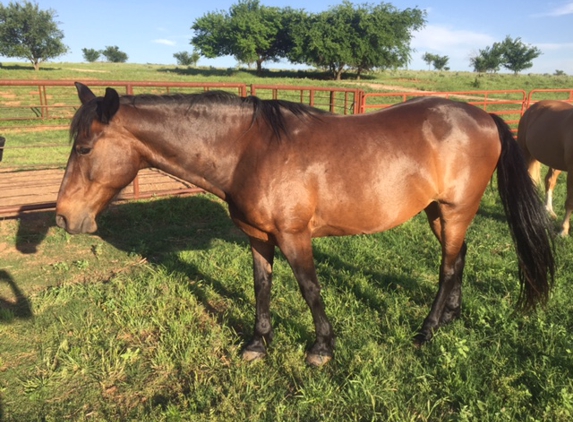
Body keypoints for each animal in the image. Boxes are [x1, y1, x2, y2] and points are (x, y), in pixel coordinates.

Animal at [55, 83, 552, 366]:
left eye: (84, 148)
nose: (63, 216)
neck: (248, 150)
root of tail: (483, 116)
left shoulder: (295, 237)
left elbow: (310, 288)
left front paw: (322, 348)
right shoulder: (258, 237)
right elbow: (262, 286)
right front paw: (258, 344)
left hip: (455, 209)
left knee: (447, 267)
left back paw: (427, 330)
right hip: (439, 212)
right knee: (459, 256)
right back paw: (451, 317)